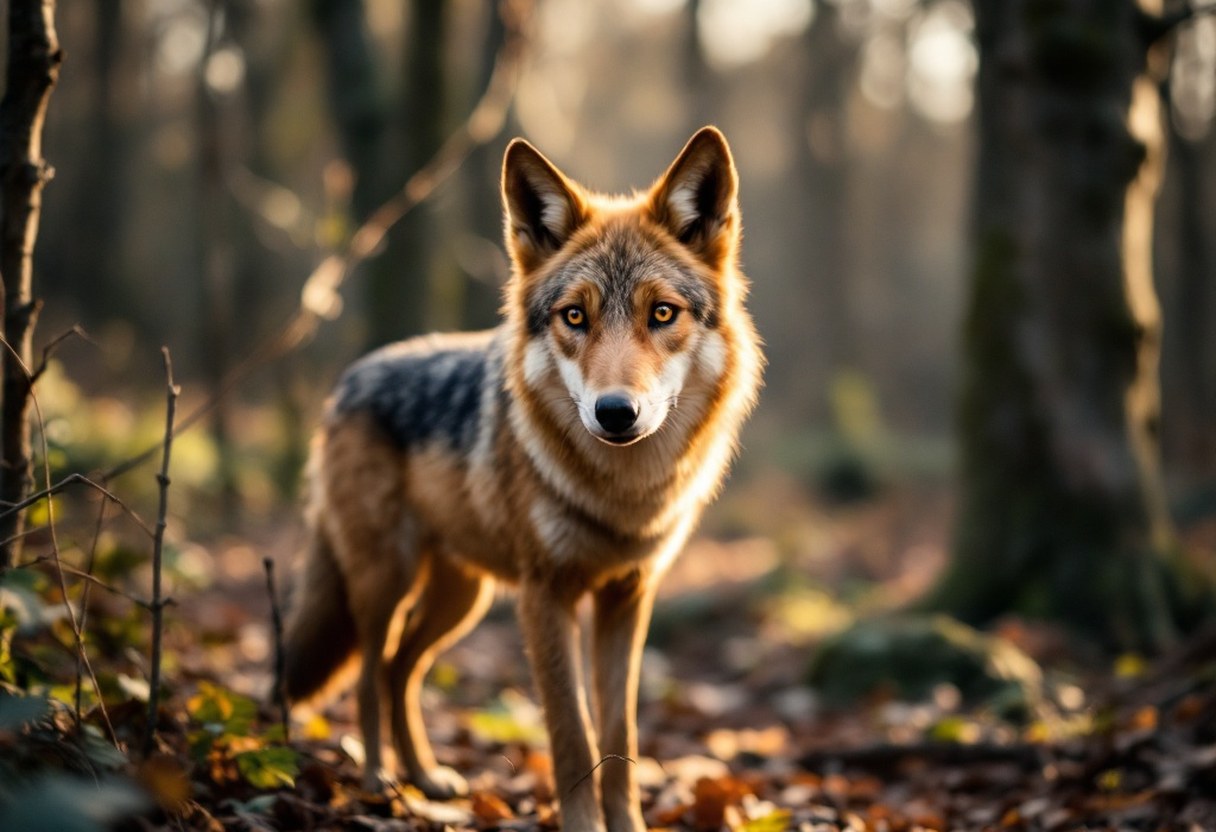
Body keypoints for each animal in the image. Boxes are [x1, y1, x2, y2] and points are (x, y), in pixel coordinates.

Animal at [280, 126, 763, 832]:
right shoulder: (546, 597)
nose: (615, 412)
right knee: (370, 676)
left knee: (401, 670)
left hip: (462, 598)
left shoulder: (628, 598)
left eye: (662, 314)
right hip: (386, 583)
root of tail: (348, 382)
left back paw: (427, 778)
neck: (623, 492)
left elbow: (619, 738)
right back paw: (377, 783)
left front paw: (627, 825)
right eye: (574, 317)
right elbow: (572, 737)